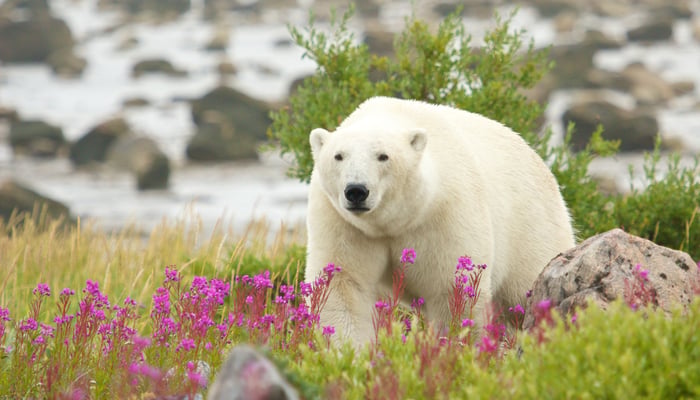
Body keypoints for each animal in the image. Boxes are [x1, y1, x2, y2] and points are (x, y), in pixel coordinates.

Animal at [305, 96, 575, 346]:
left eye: (383, 156)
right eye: (338, 156)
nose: (356, 191)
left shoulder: (446, 213)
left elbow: (452, 289)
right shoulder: (343, 222)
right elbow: (343, 282)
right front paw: (349, 351)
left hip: (531, 226)